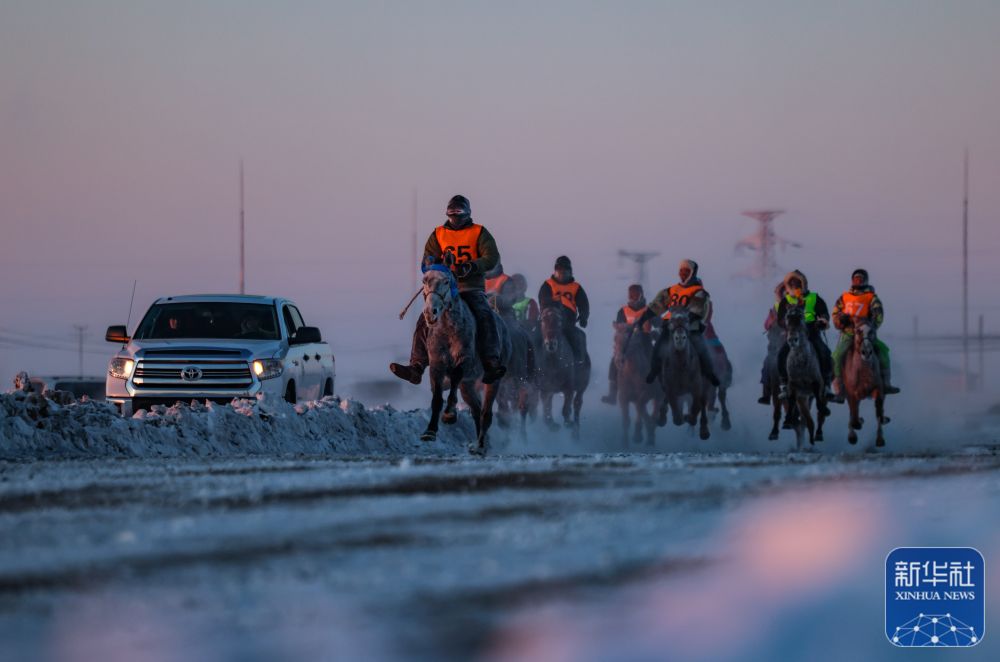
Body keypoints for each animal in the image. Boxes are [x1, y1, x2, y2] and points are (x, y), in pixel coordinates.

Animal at [422, 270, 516, 456]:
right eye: (424, 281)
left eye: (446, 281)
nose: (430, 313)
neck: (448, 331)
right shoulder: (436, 366)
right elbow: (436, 398)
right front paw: (429, 431)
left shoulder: (464, 361)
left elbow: (455, 377)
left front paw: (450, 414)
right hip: (468, 385)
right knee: (477, 410)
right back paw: (482, 445)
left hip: (493, 380)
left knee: (486, 413)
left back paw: (480, 446)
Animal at [652, 310, 716, 440]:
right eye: (671, 322)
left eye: (687, 321)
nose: (680, 338)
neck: (681, 370)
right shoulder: (670, 389)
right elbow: (677, 419)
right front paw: (670, 417)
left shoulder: (696, 389)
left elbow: (695, 410)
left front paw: (690, 418)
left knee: (702, 404)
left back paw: (704, 431)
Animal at [784, 308, 824, 448]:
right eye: (787, 318)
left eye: (801, 317)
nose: (792, 340)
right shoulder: (793, 386)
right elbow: (791, 400)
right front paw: (787, 421)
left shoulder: (818, 384)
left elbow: (820, 406)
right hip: (803, 399)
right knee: (807, 421)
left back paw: (817, 435)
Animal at [840, 320, 888, 448]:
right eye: (858, 331)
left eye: (871, 331)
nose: (866, 352)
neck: (864, 372)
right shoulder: (852, 394)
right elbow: (854, 416)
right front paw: (854, 433)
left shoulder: (878, 389)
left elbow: (878, 411)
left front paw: (880, 439)